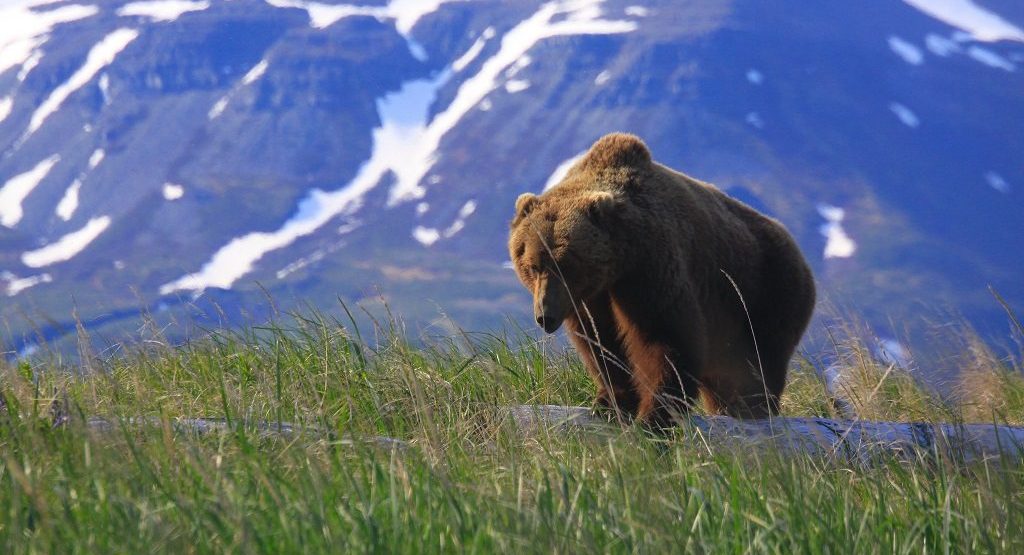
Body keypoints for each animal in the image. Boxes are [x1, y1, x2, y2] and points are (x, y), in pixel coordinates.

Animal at [509, 134, 815, 425]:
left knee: (758, 363)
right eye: (533, 265)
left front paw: (653, 417)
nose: (545, 316)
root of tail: (795, 247)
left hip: (764, 293)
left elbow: (664, 338)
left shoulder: (650, 269)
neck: (617, 265)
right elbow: (601, 345)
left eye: (566, 264)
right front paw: (609, 402)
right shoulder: (590, 299)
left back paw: (751, 407)